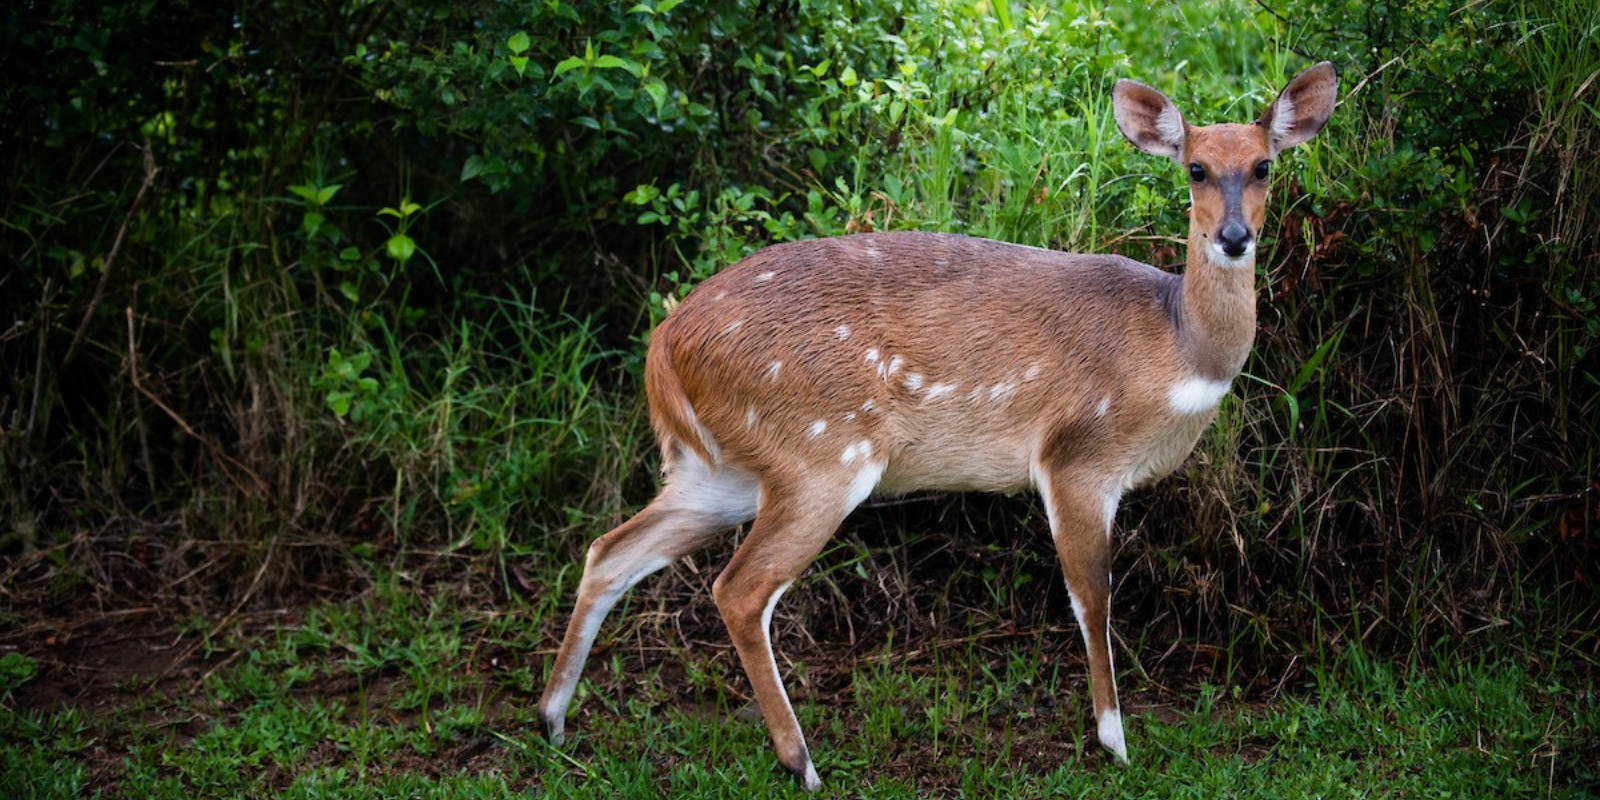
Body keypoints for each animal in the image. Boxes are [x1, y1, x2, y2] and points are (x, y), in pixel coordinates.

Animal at [538, 62, 1338, 789]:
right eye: (1196, 168)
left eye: (1264, 164)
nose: (1233, 236)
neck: (1177, 347)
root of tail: (662, 348)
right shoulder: (1077, 458)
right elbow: (1093, 594)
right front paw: (1114, 741)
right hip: (821, 453)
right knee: (737, 588)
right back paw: (802, 764)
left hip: (719, 471)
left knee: (608, 549)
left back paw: (552, 720)